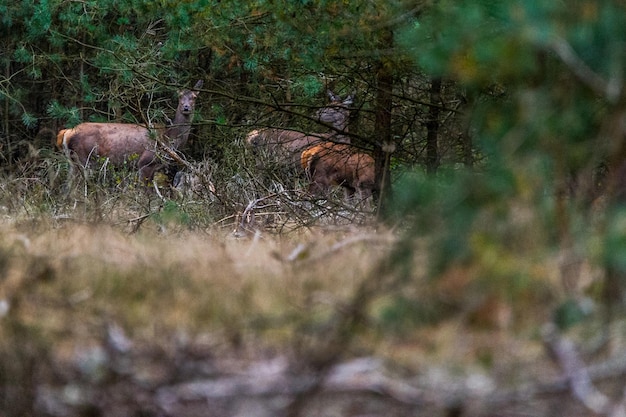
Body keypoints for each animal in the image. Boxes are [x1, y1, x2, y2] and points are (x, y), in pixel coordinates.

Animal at [56, 79, 202, 180]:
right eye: (180, 96)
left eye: (194, 97)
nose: (186, 107)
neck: (168, 139)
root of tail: (67, 132)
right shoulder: (145, 162)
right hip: (84, 159)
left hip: (72, 162)